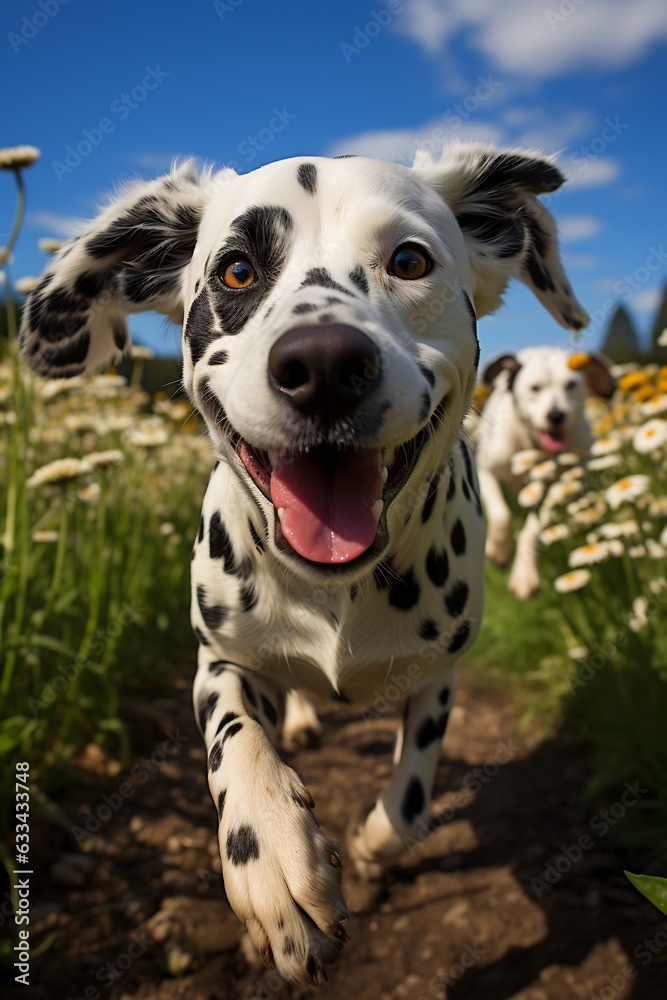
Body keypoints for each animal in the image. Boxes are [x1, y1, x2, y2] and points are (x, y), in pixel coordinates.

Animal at [18, 143, 588, 984]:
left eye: (409, 260)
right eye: (236, 271)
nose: (322, 363)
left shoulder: (439, 677)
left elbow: (407, 806)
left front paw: (371, 849)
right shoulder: (217, 655)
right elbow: (233, 735)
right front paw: (272, 857)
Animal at [478, 348, 612, 596]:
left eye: (571, 385)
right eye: (535, 388)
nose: (556, 415)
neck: (535, 450)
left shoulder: (559, 488)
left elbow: (531, 530)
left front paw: (524, 575)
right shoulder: (486, 470)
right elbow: (501, 514)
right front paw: (498, 550)